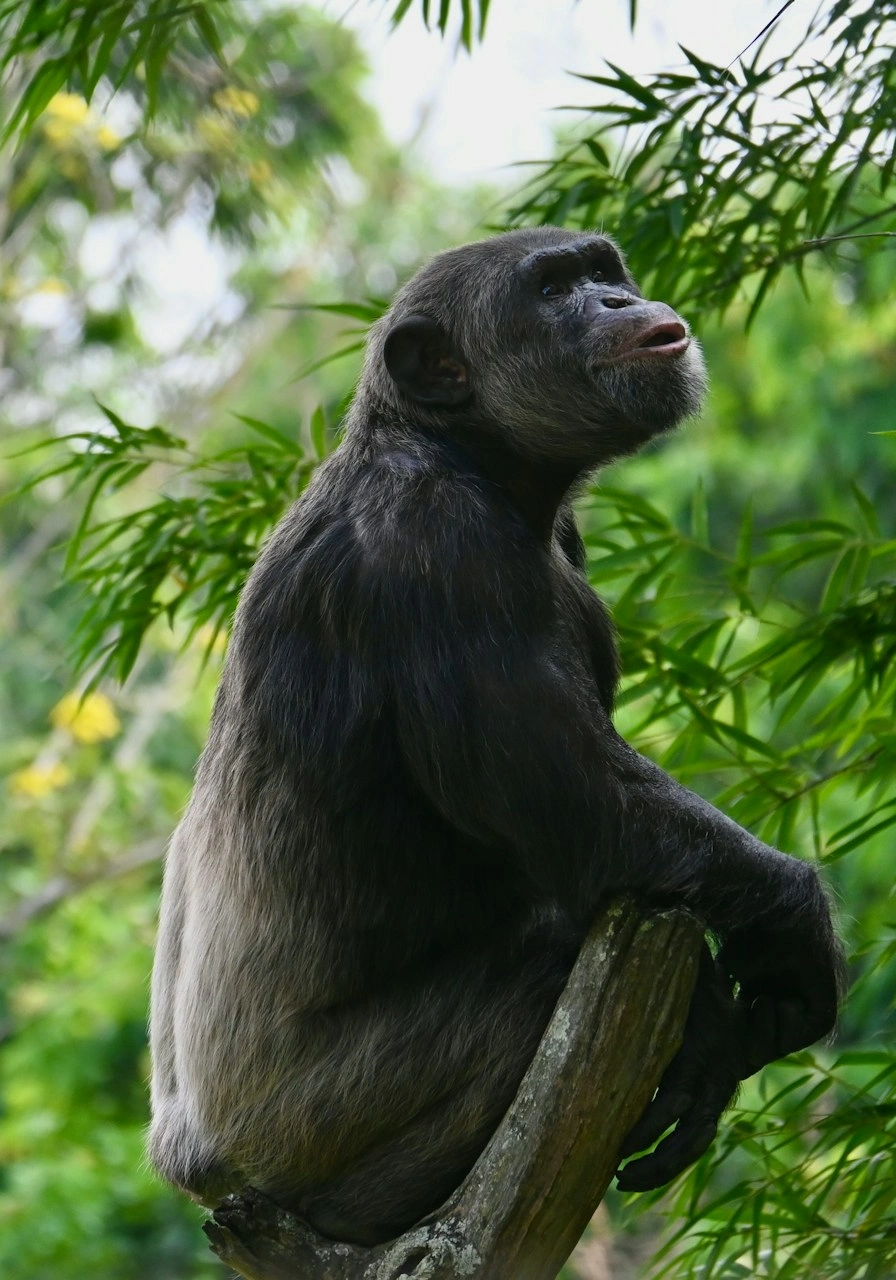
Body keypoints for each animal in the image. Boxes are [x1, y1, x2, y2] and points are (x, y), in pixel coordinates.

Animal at [148, 227, 843, 1247]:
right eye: (552, 290)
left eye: (602, 270)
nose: (614, 300)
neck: (470, 457)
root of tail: (186, 1158)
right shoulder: (442, 558)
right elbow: (589, 810)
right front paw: (794, 938)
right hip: (299, 1125)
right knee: (543, 968)